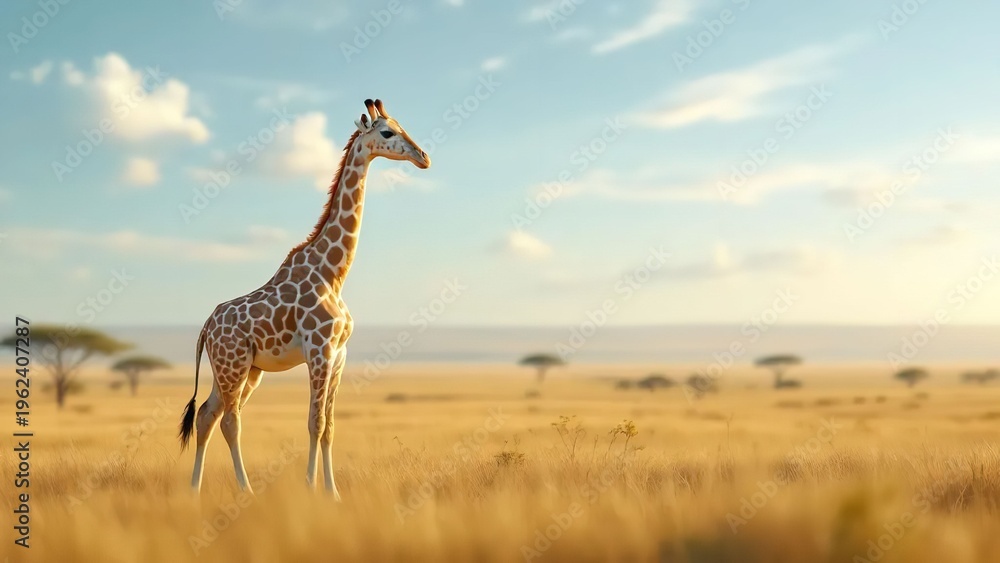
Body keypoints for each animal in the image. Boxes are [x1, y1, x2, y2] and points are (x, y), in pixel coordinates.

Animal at [178, 99, 431, 498]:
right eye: (388, 132)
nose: (424, 157)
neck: (334, 273)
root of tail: (205, 328)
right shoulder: (319, 349)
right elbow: (314, 422)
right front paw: (313, 488)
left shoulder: (340, 354)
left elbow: (329, 426)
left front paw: (333, 492)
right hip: (234, 366)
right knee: (230, 421)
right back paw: (246, 491)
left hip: (240, 370)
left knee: (206, 416)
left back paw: (194, 492)